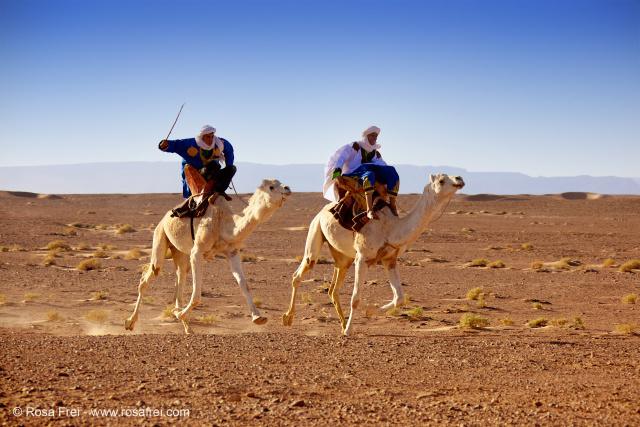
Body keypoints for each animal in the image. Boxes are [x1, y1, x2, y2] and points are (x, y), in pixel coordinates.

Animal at [126, 179, 292, 336]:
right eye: (271, 187)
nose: (288, 188)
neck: (224, 223)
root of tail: (166, 216)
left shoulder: (232, 252)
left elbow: (244, 285)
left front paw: (258, 317)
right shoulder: (197, 252)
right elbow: (197, 295)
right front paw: (180, 314)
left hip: (180, 252)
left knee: (180, 278)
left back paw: (187, 327)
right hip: (161, 234)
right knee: (148, 277)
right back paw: (130, 322)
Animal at [282, 172, 462, 336]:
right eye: (441, 180)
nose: (460, 179)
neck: (391, 228)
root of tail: (322, 210)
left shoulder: (390, 259)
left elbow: (399, 298)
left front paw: (368, 311)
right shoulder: (362, 258)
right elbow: (355, 298)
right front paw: (349, 330)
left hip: (343, 258)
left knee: (333, 289)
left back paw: (341, 324)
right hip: (316, 230)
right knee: (300, 272)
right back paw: (288, 318)